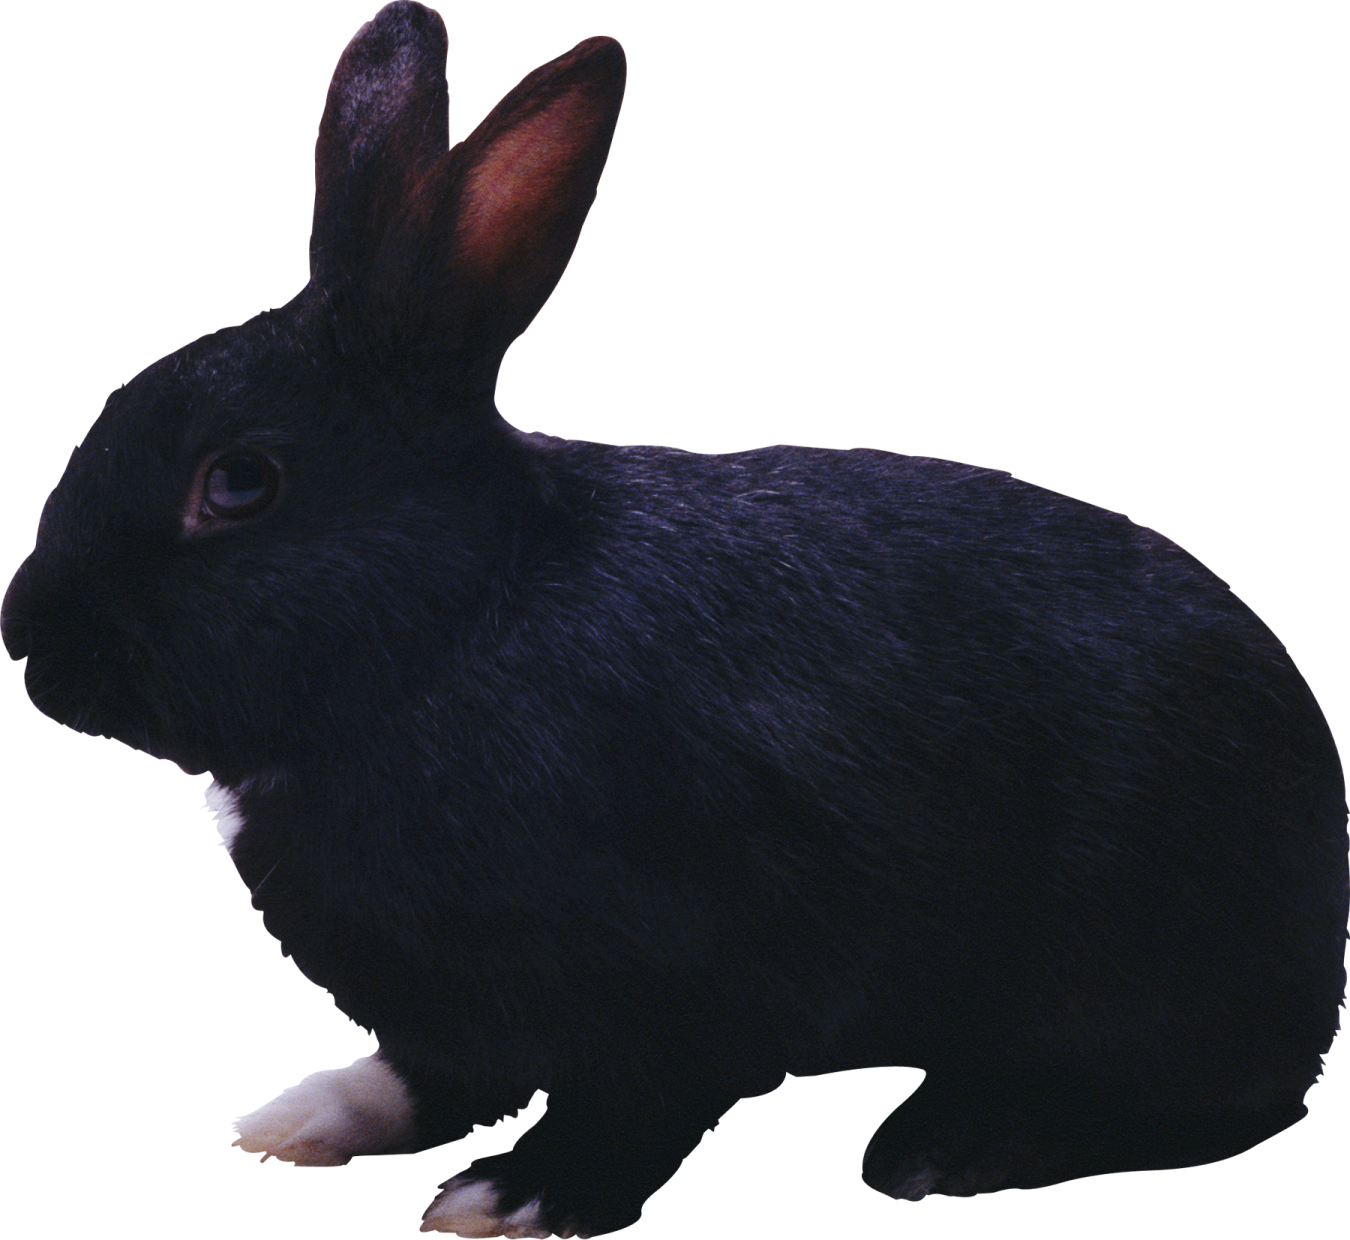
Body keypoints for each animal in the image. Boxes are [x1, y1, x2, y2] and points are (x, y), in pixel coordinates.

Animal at [3, 1, 1346, 1236]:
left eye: (239, 485)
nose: (28, 639)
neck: (451, 634)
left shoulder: (687, 969)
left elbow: (635, 1105)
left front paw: (514, 1198)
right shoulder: (442, 1009)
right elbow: (432, 1076)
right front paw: (308, 1118)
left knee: (1215, 1102)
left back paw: (961, 1141)